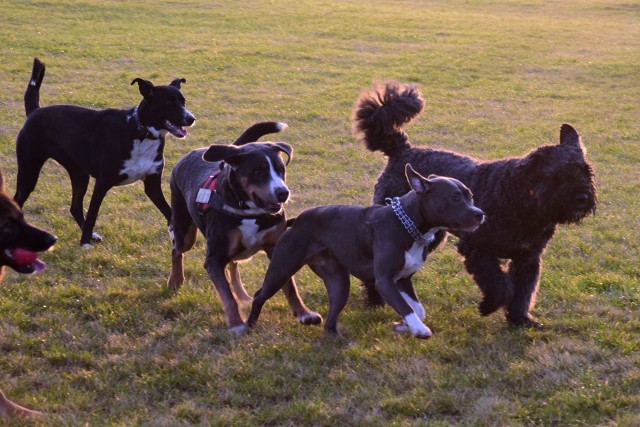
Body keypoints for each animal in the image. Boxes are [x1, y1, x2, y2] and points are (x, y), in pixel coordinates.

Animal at [14, 58, 195, 249]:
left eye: (183, 102)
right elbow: (93, 214)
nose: (191, 119)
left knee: (75, 207)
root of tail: (34, 111)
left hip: (79, 174)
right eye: (168, 103)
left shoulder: (152, 184)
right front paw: (84, 243)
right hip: (28, 171)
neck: (141, 133)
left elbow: (170, 212)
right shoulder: (102, 182)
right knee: (17, 201)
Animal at [352, 82, 596, 328]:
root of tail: (402, 150)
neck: (523, 201)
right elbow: (500, 286)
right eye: (558, 175)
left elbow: (523, 291)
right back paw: (374, 301)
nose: (582, 197)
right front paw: (488, 306)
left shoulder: (528, 257)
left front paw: (520, 319)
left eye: (586, 170)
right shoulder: (477, 249)